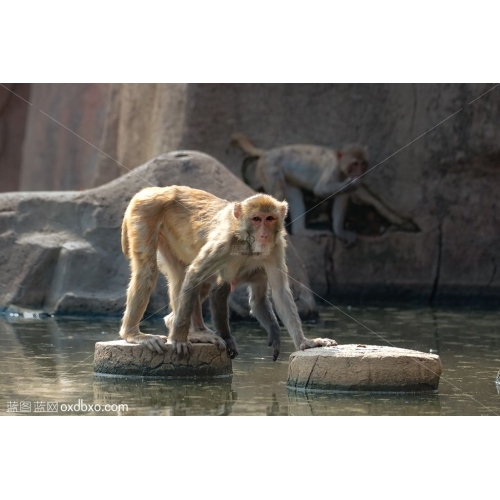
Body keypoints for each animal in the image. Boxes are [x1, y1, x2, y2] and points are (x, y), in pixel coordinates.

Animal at [118, 186, 336, 362]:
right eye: (256, 219)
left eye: (270, 219)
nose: (264, 234)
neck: (248, 243)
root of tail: (151, 190)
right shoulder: (225, 242)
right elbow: (197, 274)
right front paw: (179, 340)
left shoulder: (275, 247)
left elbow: (280, 292)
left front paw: (304, 342)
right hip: (144, 213)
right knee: (150, 271)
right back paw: (135, 334)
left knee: (185, 276)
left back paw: (192, 331)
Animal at [230, 133, 410, 246]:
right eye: (355, 164)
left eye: (363, 163)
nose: (360, 173)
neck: (341, 167)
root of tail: (267, 152)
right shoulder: (333, 171)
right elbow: (320, 190)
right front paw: (353, 183)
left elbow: (341, 200)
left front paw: (340, 232)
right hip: (270, 168)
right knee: (278, 194)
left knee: (294, 196)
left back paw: (302, 231)